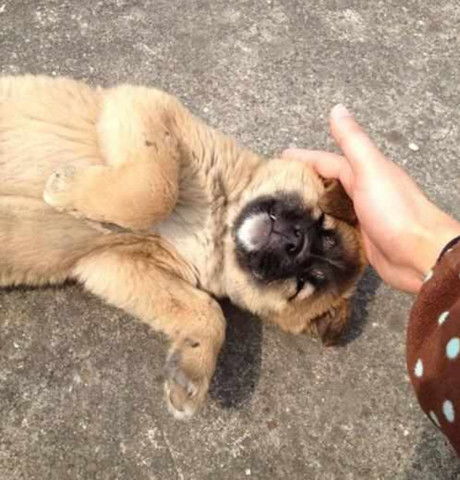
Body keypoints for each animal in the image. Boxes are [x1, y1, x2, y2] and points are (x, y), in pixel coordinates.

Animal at [0, 77, 366, 418]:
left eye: (300, 285)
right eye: (321, 222)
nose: (294, 242)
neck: (220, 225)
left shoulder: (112, 263)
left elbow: (207, 311)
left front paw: (191, 368)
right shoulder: (145, 105)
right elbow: (155, 192)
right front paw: (63, 187)